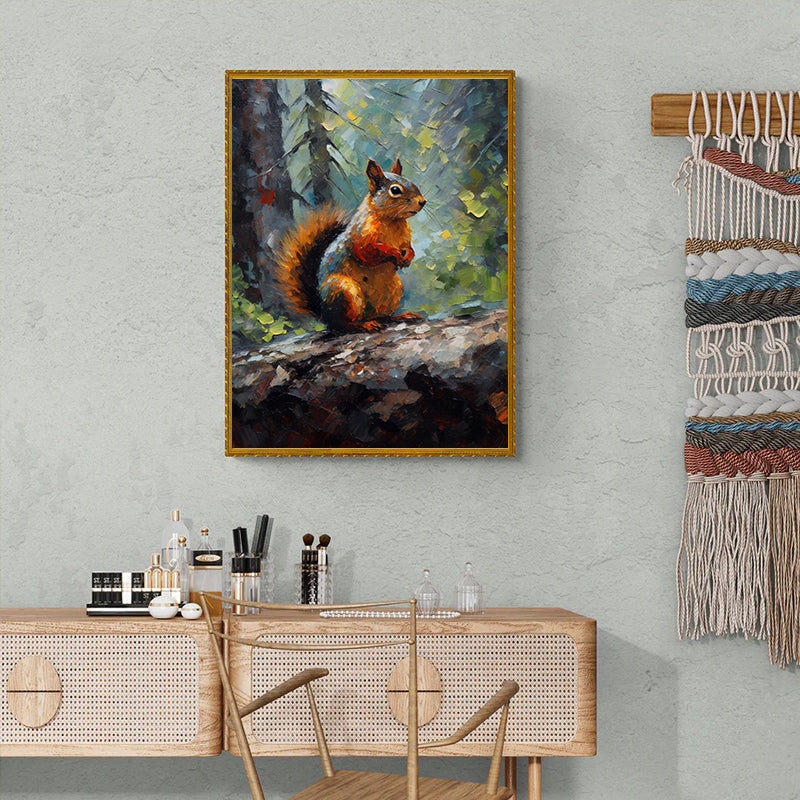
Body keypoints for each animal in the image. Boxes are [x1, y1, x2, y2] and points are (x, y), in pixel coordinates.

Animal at [275, 157, 427, 332]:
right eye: (395, 190)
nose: (422, 201)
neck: (392, 221)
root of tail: (323, 316)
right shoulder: (359, 240)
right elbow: (368, 252)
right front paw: (393, 253)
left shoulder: (404, 239)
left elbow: (408, 248)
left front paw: (408, 256)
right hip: (345, 292)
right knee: (344, 325)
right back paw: (364, 324)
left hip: (393, 292)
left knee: (382, 317)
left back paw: (400, 316)